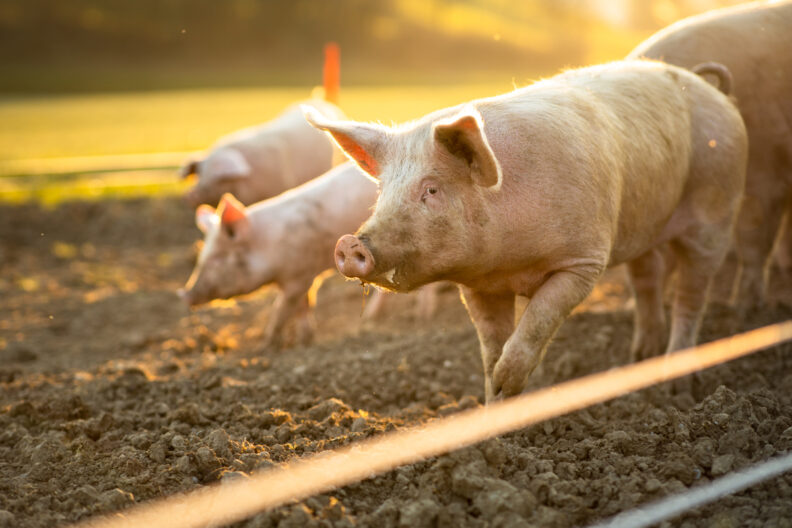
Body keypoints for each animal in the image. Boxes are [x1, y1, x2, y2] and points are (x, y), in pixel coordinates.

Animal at [180, 162, 378, 347]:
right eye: (202, 256)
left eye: (217, 257)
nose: (184, 295)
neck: (269, 246)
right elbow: (303, 306)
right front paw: (305, 340)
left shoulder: (300, 276)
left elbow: (282, 308)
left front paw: (266, 345)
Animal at [305, 60, 747, 401]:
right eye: (383, 191)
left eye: (431, 189)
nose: (350, 244)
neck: (508, 262)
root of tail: (711, 89)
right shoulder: (479, 286)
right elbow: (490, 347)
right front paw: (494, 403)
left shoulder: (584, 260)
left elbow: (536, 321)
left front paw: (506, 382)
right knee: (647, 280)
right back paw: (640, 358)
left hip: (717, 208)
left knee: (691, 297)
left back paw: (675, 386)